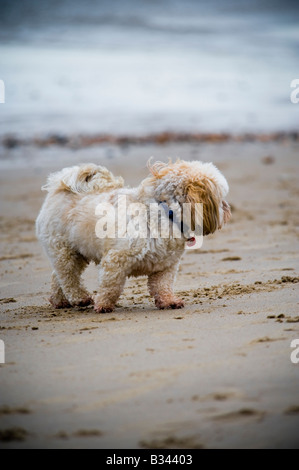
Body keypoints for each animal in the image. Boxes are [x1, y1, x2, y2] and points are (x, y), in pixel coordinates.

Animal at [35, 160, 232, 314]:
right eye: (220, 197)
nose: (228, 209)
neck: (163, 212)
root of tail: (59, 189)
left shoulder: (166, 265)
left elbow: (163, 285)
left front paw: (169, 301)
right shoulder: (115, 261)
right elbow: (111, 287)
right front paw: (103, 305)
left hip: (78, 253)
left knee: (58, 277)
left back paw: (60, 301)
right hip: (63, 250)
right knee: (68, 276)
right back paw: (79, 298)